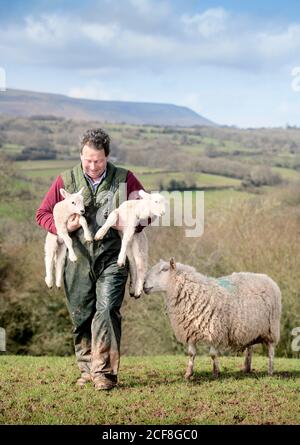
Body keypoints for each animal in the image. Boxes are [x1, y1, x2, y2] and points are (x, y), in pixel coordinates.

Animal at [144, 256, 282, 378]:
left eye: (164, 269)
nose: (144, 285)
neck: (193, 292)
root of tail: (266, 277)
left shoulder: (215, 330)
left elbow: (213, 354)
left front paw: (216, 373)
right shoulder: (190, 330)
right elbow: (191, 354)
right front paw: (188, 374)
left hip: (271, 328)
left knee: (271, 350)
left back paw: (270, 371)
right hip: (251, 328)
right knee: (250, 348)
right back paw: (246, 368)